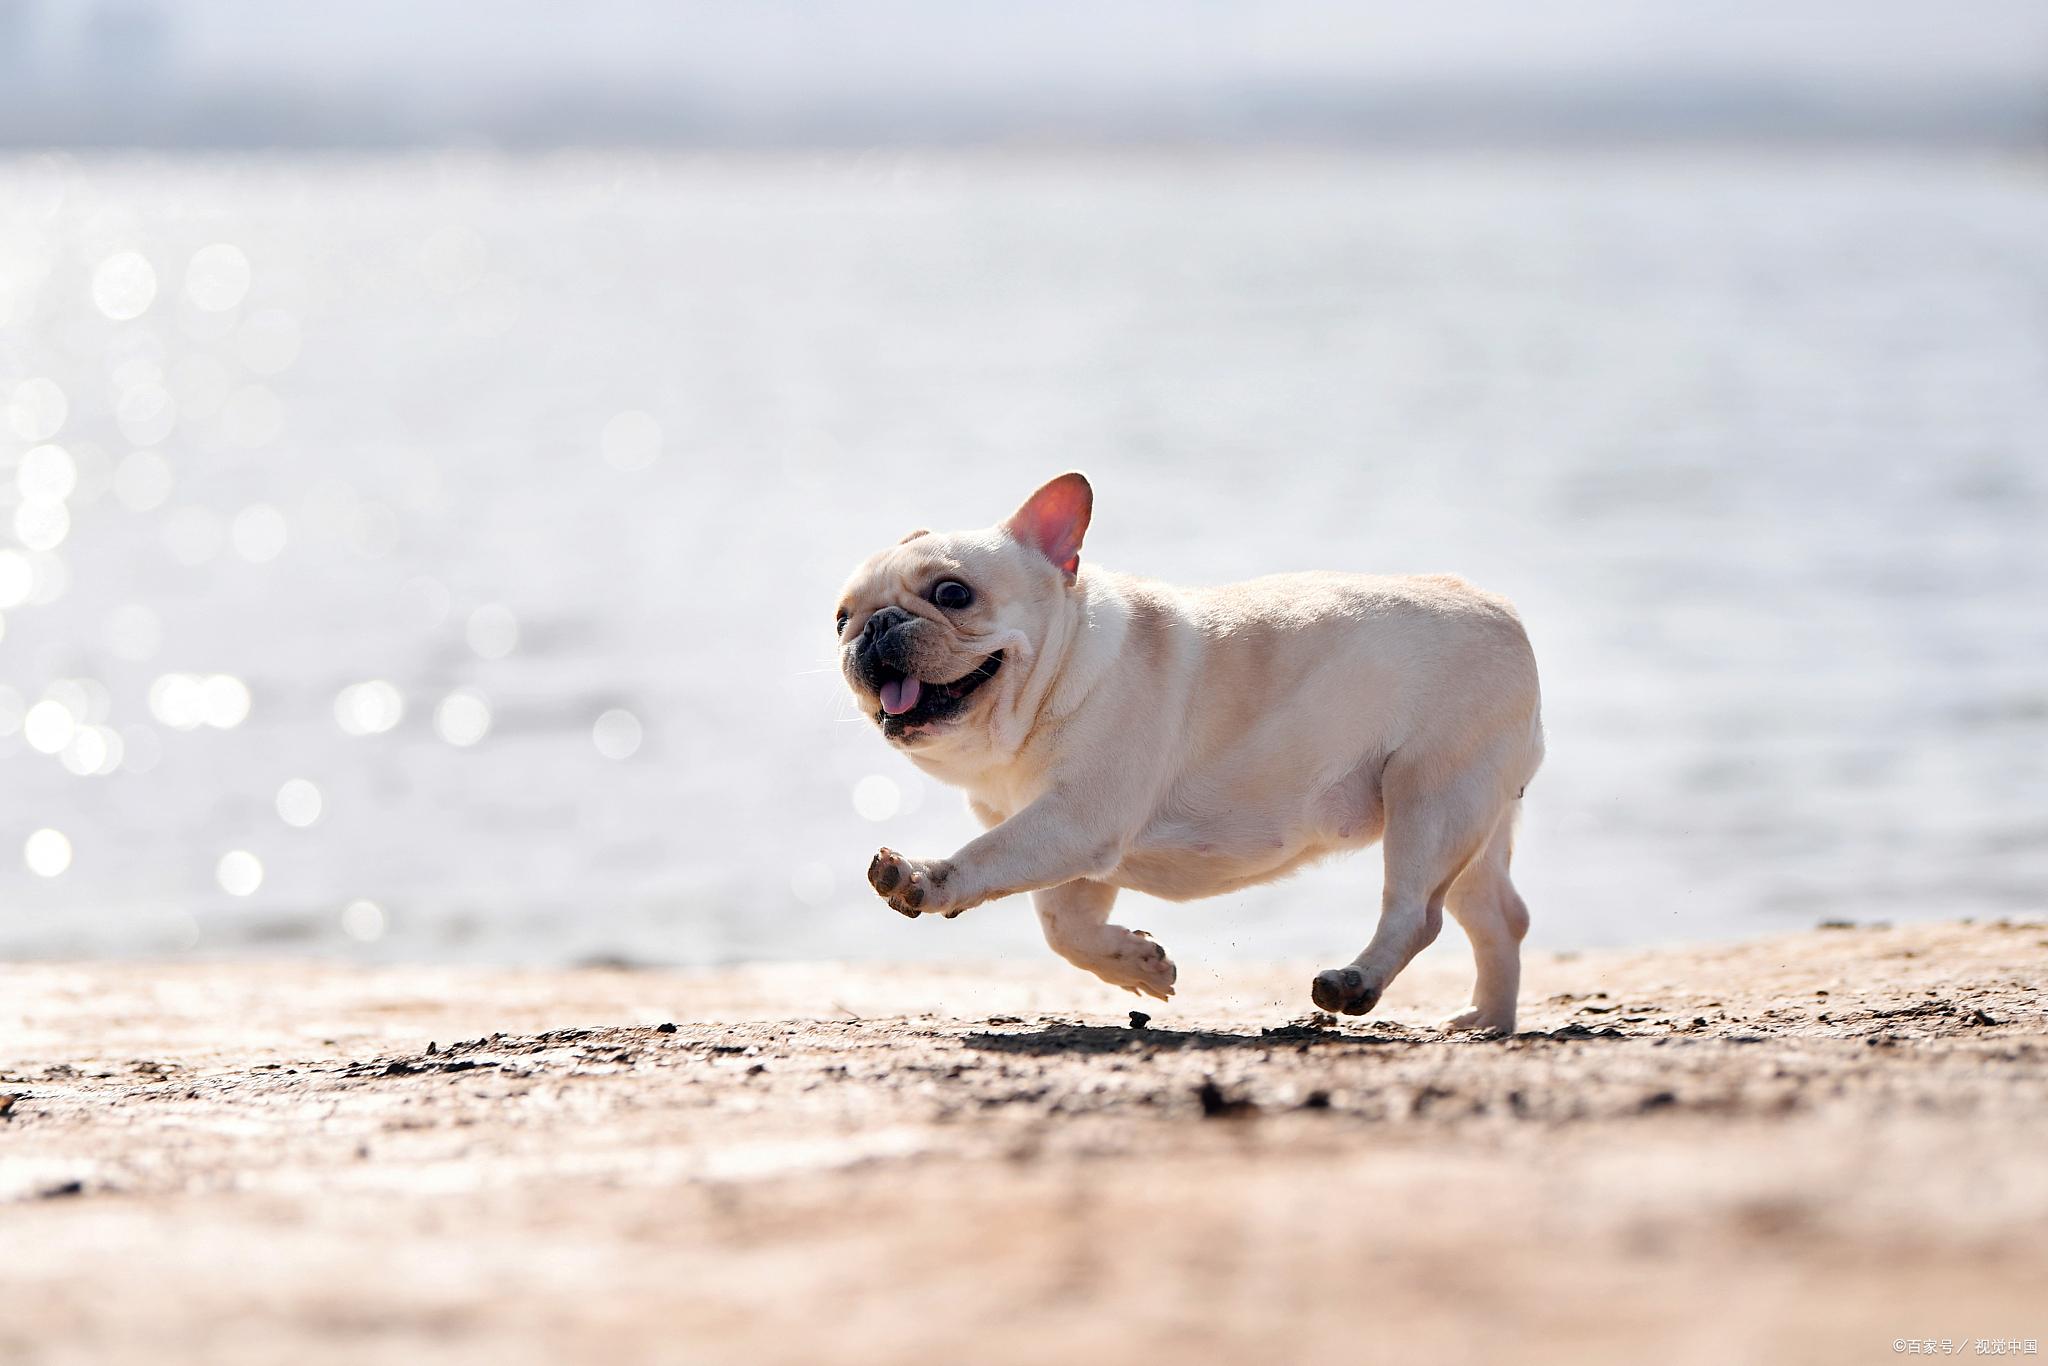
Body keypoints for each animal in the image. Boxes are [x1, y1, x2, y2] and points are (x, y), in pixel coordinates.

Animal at [831, 475, 1540, 1032]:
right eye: (840, 618)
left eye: (952, 593)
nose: (876, 625)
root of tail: (1500, 610)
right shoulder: (1069, 850)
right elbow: (1063, 928)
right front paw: (1138, 965)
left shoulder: (1073, 821)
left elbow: (987, 858)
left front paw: (923, 878)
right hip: (1473, 816)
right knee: (1497, 915)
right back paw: (1488, 1020)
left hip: (1433, 796)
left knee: (1418, 912)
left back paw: (1356, 981)